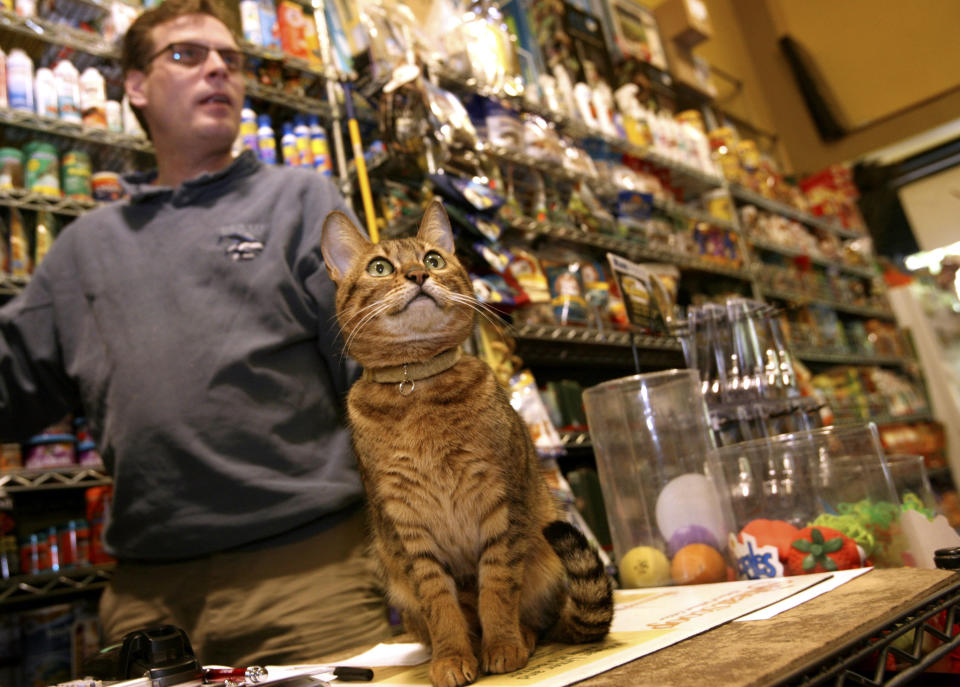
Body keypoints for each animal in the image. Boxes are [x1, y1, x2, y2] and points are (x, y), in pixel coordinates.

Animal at [318, 200, 612, 687]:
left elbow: (497, 588)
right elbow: (441, 607)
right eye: (380, 267)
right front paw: (453, 658)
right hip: (396, 582)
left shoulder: (500, 503)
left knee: (536, 619)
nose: (418, 274)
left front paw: (503, 647)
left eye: (434, 258)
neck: (416, 388)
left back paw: (521, 637)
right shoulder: (408, 527)